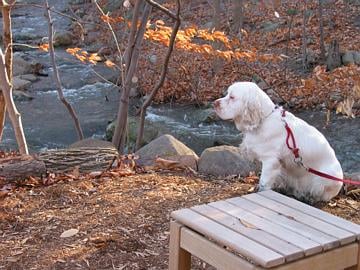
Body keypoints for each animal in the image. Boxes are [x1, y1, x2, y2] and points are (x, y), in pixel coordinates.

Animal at [214, 82, 344, 202]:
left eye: (232, 97)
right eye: (227, 94)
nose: (214, 103)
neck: (263, 119)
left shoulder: (270, 161)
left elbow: (264, 182)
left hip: (322, 180)